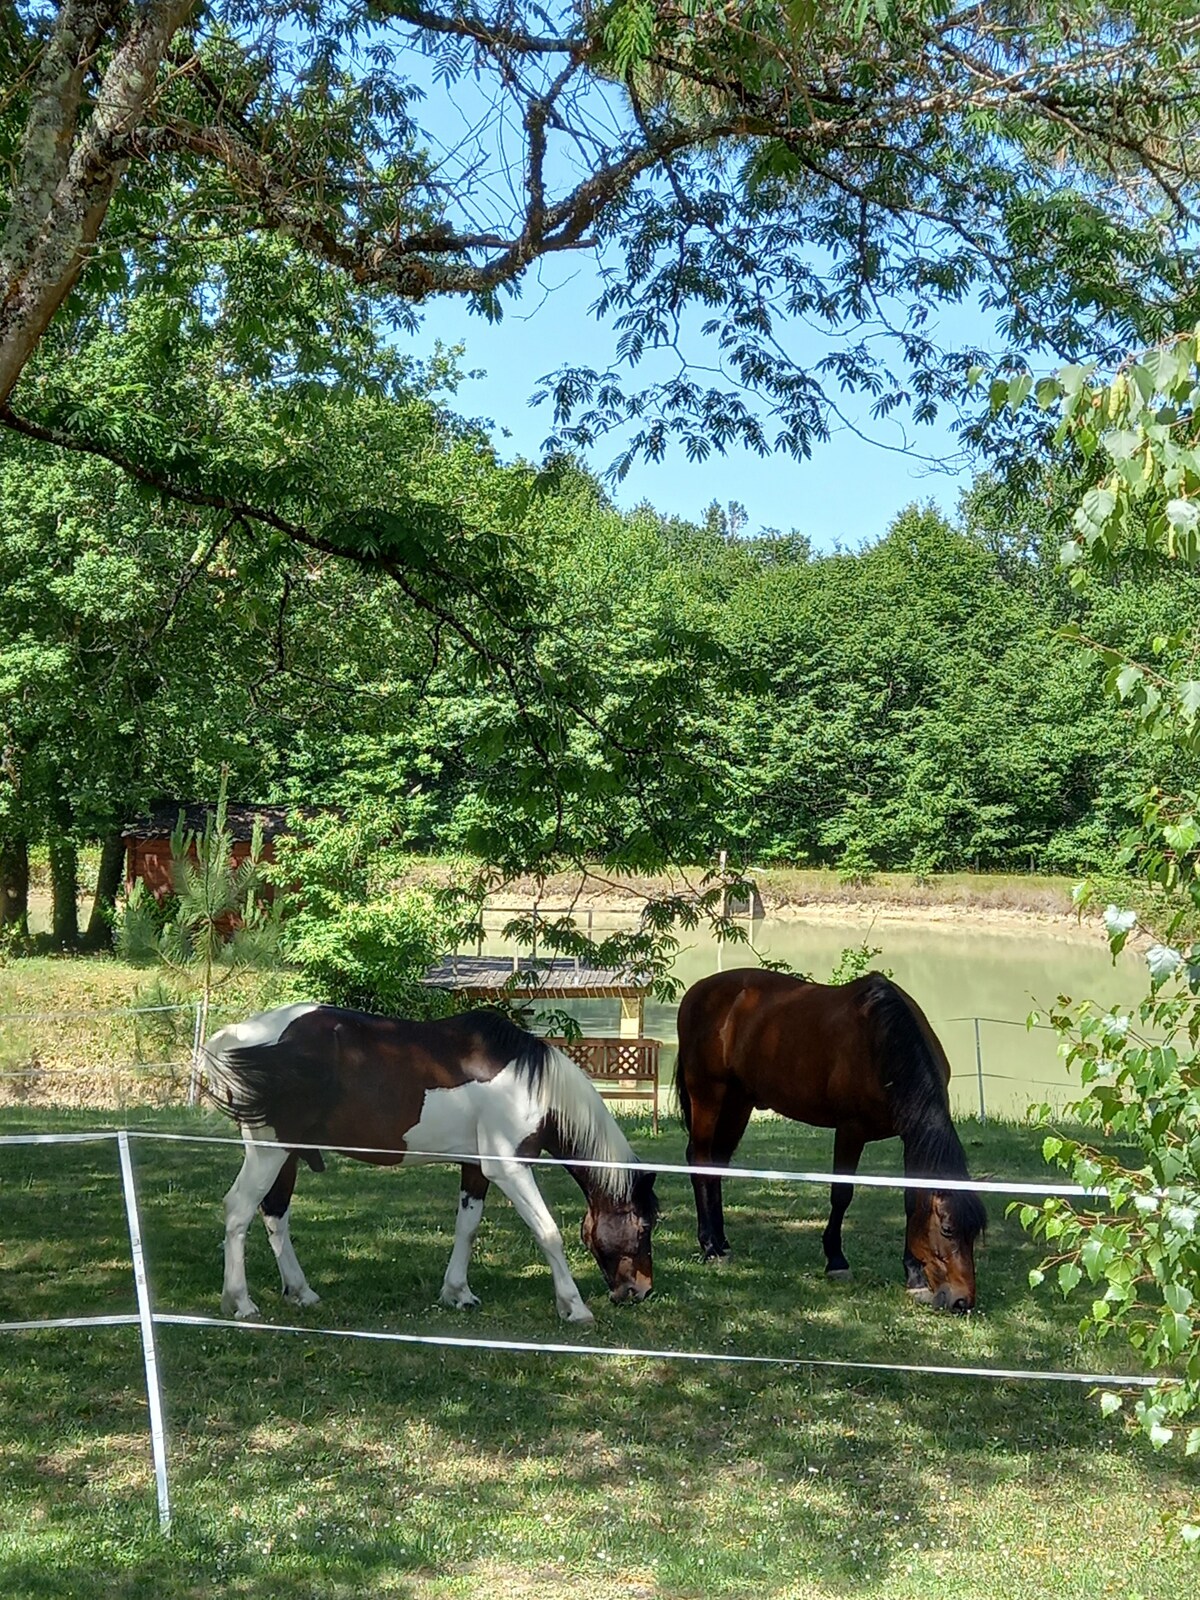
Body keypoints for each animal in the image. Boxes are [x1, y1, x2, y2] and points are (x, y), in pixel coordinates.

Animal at [203, 998, 662, 1324]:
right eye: (643, 1226)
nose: (641, 1292)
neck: (530, 1083)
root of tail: (241, 1034)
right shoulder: (509, 1168)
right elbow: (548, 1233)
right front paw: (574, 1307)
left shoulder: (477, 1168)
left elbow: (467, 1228)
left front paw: (458, 1293)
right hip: (270, 1152)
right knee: (239, 1211)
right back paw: (240, 1302)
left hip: (286, 1155)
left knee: (275, 1214)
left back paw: (301, 1293)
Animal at [678, 960, 985, 1312]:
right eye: (947, 1229)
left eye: (976, 1231)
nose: (963, 1300)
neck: (882, 1040)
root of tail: (698, 991)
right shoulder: (851, 1130)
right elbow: (841, 1194)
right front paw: (836, 1261)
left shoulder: (910, 1137)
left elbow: (912, 1200)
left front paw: (914, 1276)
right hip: (708, 1095)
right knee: (700, 1161)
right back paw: (710, 1246)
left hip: (738, 1102)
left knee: (716, 1164)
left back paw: (722, 1242)